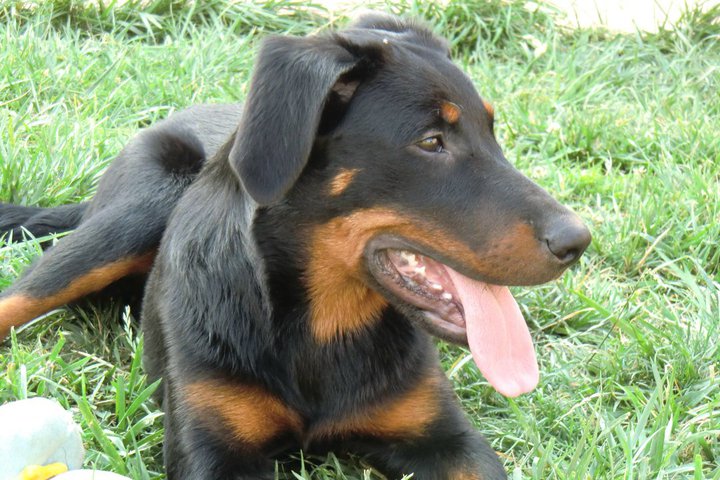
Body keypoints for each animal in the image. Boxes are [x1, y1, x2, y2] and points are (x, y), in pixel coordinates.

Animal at [0, 13, 591, 479]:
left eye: (493, 132)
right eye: (430, 142)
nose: (578, 241)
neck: (322, 326)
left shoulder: (445, 438)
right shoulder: (215, 450)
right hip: (131, 218)